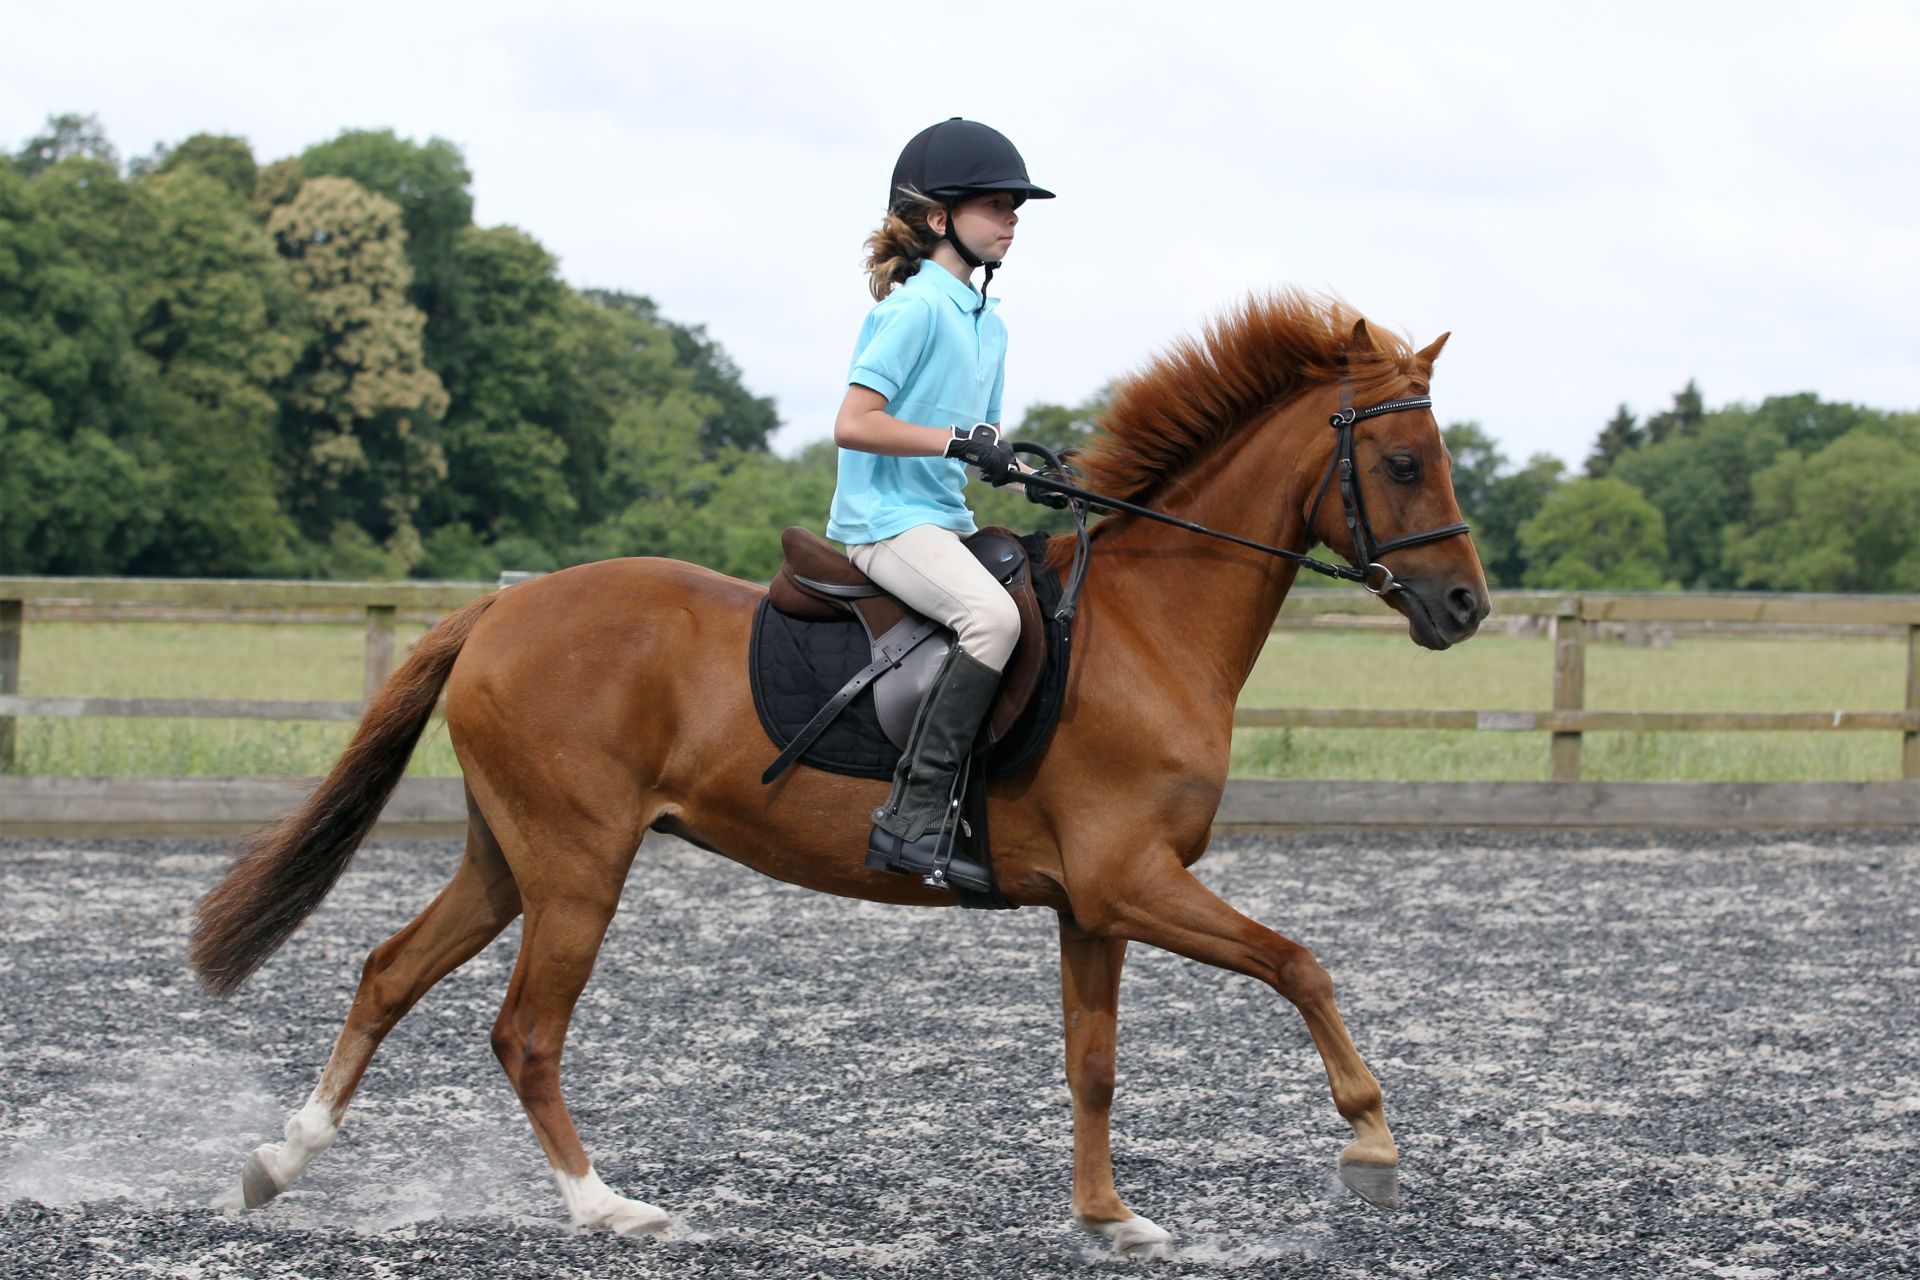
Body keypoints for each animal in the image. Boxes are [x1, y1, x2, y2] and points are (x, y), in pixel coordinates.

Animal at [191, 289, 1482, 1258]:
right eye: (1403, 461)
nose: (1465, 606)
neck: (1149, 624)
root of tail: (502, 608)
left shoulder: (1094, 903)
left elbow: (1095, 1062)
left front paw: (1110, 1216)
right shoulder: (1132, 879)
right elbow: (1299, 962)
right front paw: (1371, 1143)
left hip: (509, 855)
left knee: (389, 970)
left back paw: (278, 1160)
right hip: (577, 864)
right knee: (525, 1029)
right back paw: (606, 1205)